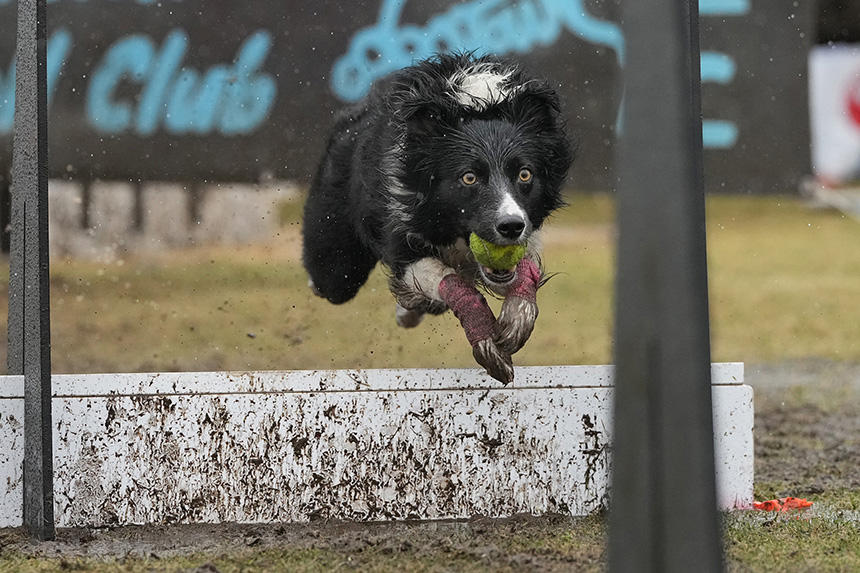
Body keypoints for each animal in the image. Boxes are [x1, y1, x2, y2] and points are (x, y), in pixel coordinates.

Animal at [302, 53, 572, 384]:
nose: (510, 227)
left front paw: (516, 318)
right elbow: (452, 282)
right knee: (330, 279)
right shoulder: (403, 240)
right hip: (336, 260)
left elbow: (522, 273)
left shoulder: (527, 230)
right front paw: (485, 337)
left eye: (524, 174)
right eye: (469, 177)